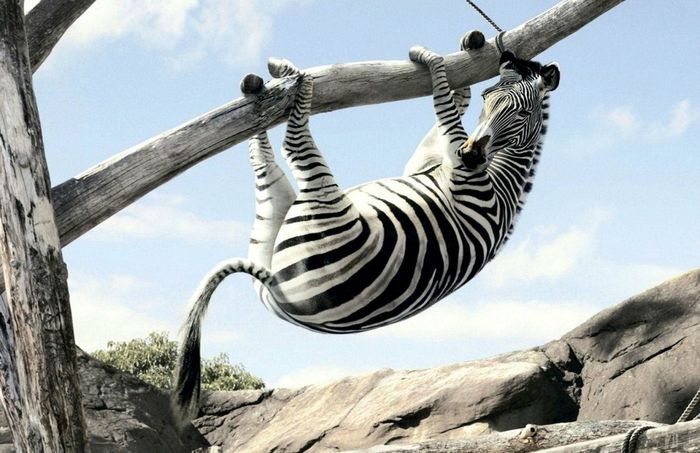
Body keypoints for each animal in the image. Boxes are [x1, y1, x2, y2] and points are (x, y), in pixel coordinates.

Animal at [173, 38, 560, 421]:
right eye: (488, 98)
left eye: (522, 113)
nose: (471, 155)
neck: (501, 179)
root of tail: (279, 291)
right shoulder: (426, 163)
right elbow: (448, 107)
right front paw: (457, 63)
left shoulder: (463, 177)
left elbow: (444, 109)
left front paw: (429, 59)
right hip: (270, 221)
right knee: (262, 157)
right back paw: (259, 93)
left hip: (320, 203)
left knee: (293, 144)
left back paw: (294, 78)